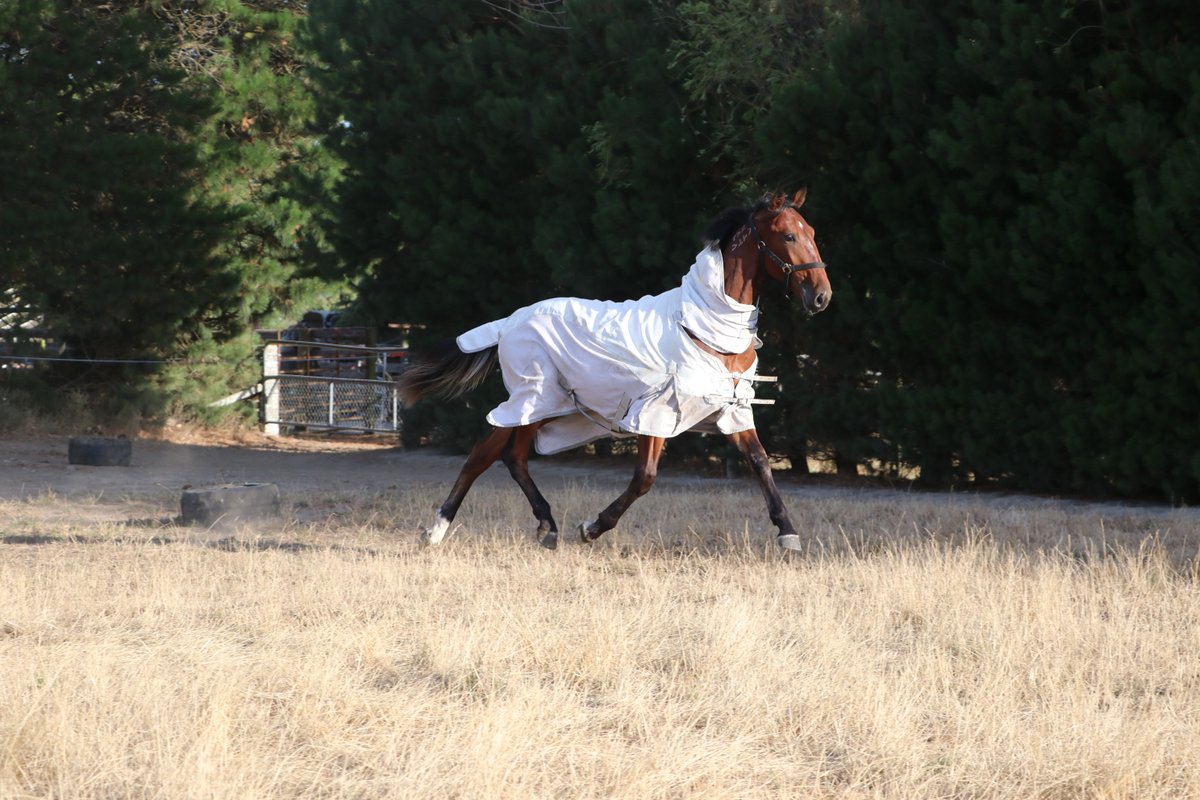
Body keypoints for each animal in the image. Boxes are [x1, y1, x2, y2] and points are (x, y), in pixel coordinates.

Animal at [398, 189, 831, 551]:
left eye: (811, 232)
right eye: (788, 236)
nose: (821, 297)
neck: (703, 325)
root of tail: (510, 322)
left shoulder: (731, 409)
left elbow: (760, 461)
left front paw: (788, 533)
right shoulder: (655, 413)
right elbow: (645, 477)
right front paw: (592, 527)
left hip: (548, 405)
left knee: (513, 457)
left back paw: (546, 526)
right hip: (530, 398)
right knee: (481, 455)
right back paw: (435, 531)